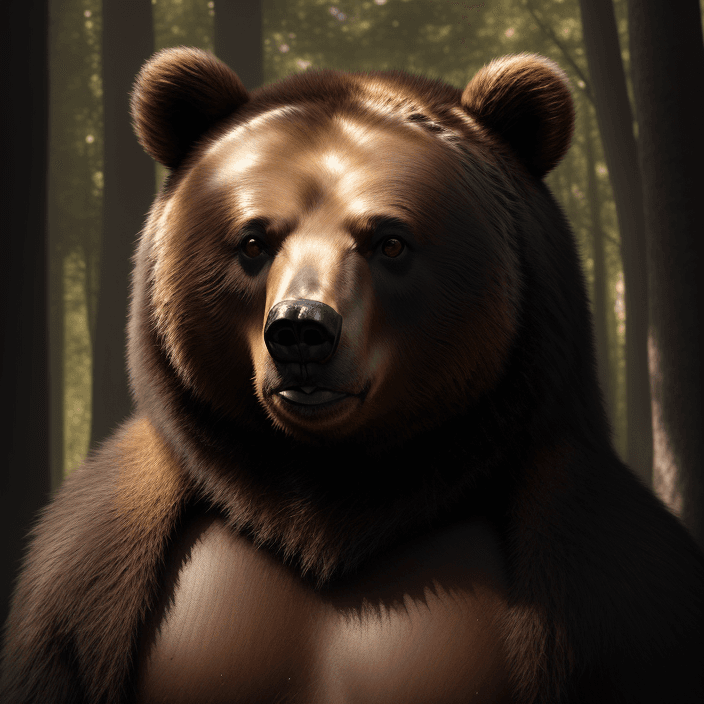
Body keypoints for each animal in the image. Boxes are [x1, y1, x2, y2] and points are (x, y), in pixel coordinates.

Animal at [2, 46, 703, 704]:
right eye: (253, 241)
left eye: (389, 241)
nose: (300, 331)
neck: (333, 505)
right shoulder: (76, 583)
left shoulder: (602, 571)